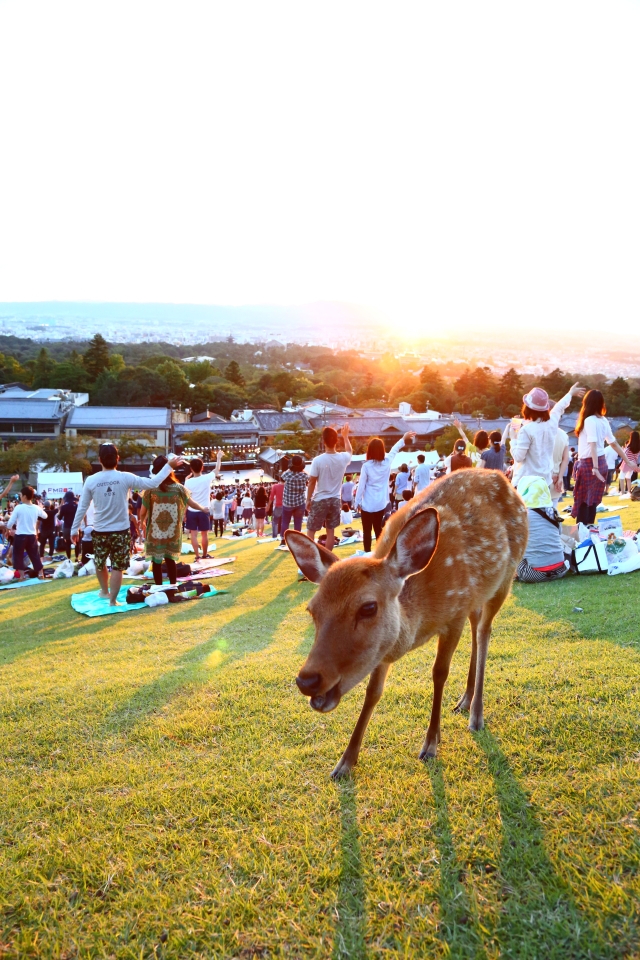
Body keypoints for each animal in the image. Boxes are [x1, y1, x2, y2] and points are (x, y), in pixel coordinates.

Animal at [285, 469, 528, 778]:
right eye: (312, 610)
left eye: (368, 607)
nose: (307, 680)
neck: (421, 619)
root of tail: (503, 478)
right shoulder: (384, 648)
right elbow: (372, 692)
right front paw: (344, 762)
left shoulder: (455, 613)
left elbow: (439, 673)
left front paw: (431, 744)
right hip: (479, 594)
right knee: (477, 629)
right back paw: (463, 701)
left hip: (505, 579)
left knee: (484, 632)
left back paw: (476, 714)